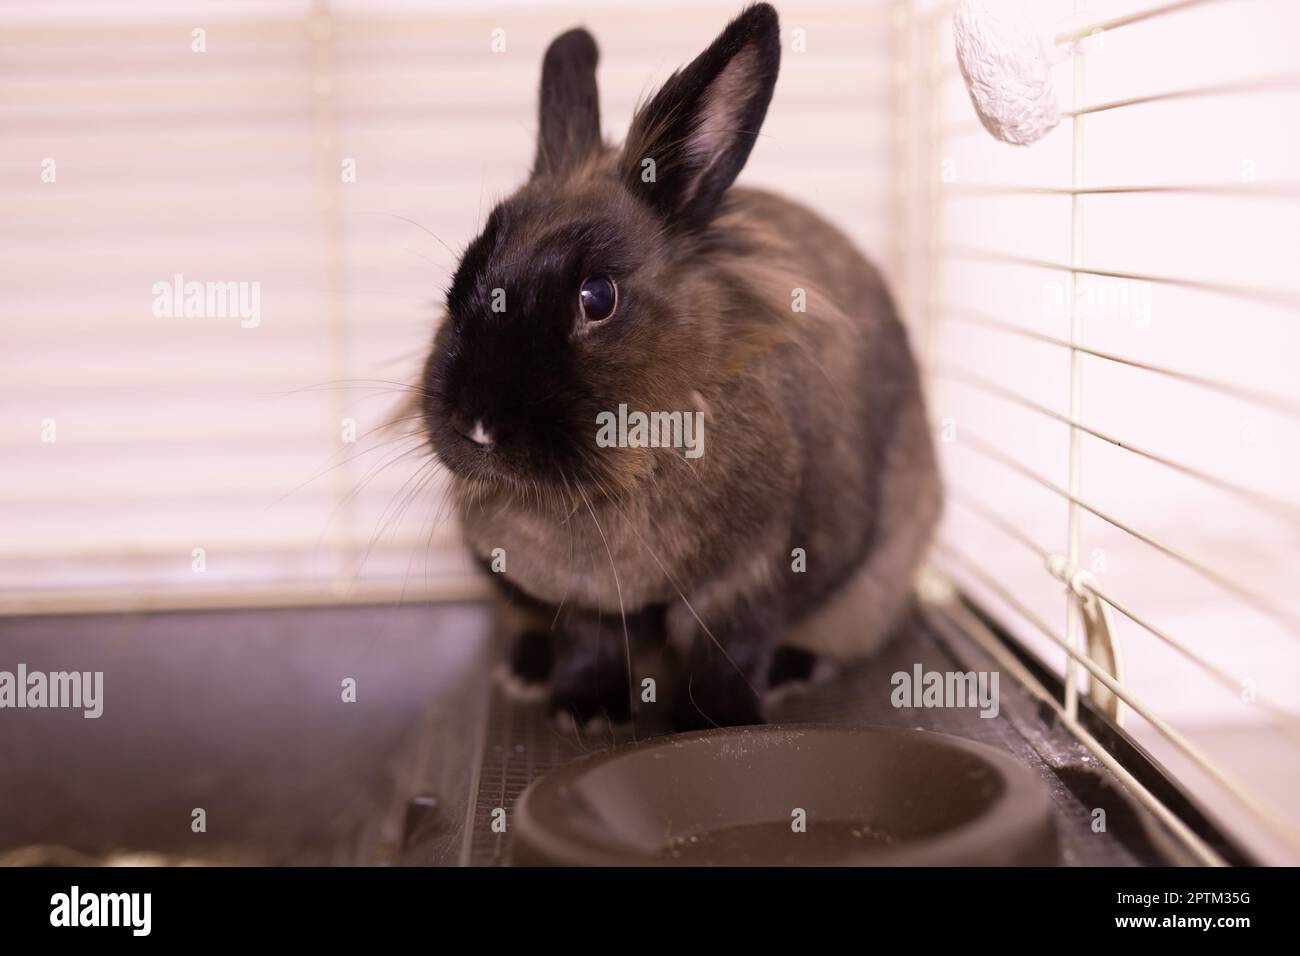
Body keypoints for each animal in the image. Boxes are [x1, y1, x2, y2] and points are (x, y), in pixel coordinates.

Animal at [419, 3, 941, 732]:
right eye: (461, 279)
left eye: (598, 297)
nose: (477, 426)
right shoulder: (577, 595)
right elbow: (588, 642)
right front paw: (586, 711)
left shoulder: (748, 575)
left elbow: (727, 654)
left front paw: (716, 725)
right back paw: (526, 670)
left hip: (878, 578)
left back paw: (792, 671)